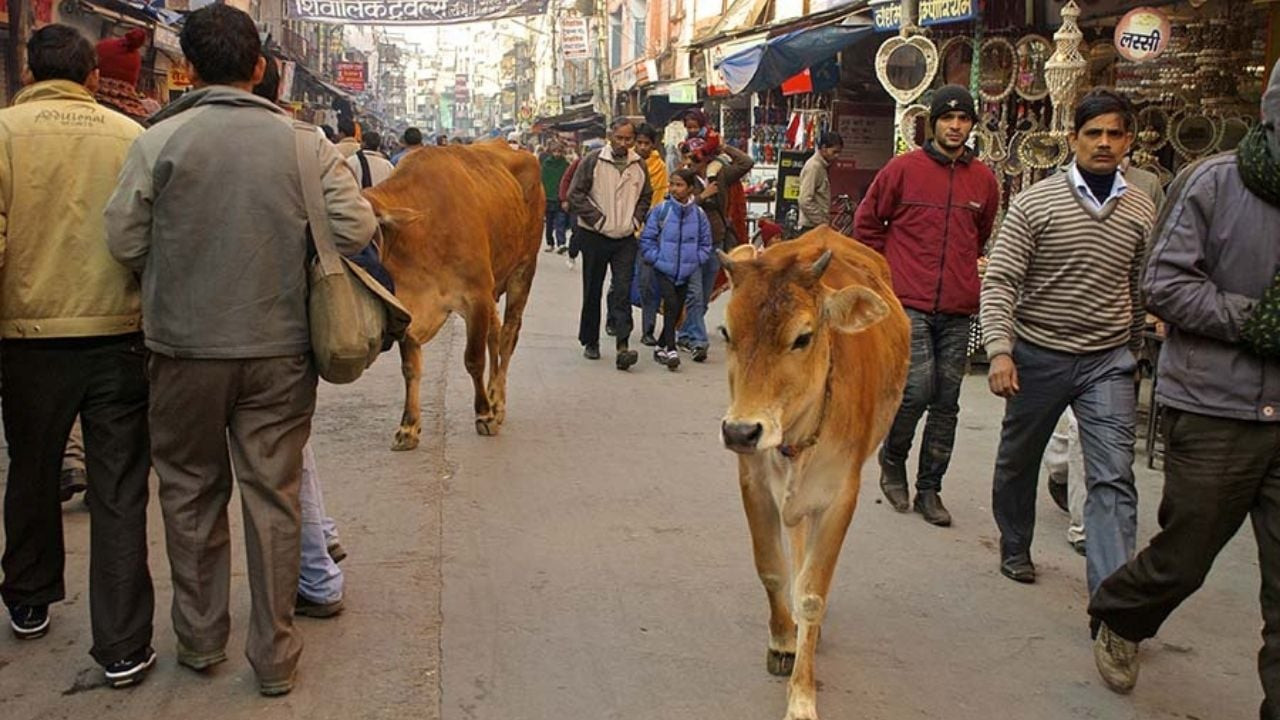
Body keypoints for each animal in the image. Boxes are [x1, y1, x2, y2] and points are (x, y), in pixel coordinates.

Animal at [363, 139, 542, 443]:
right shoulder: (407, 307)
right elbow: (410, 369)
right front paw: (408, 426)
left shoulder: (476, 297)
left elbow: (473, 359)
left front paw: (484, 415)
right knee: (495, 334)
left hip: (523, 270)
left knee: (508, 335)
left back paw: (497, 403)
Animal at [721, 228, 911, 717]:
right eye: (727, 332)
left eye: (803, 337)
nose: (740, 430)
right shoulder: (753, 483)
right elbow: (772, 570)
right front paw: (783, 640)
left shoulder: (841, 496)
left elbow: (811, 594)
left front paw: (802, 697)